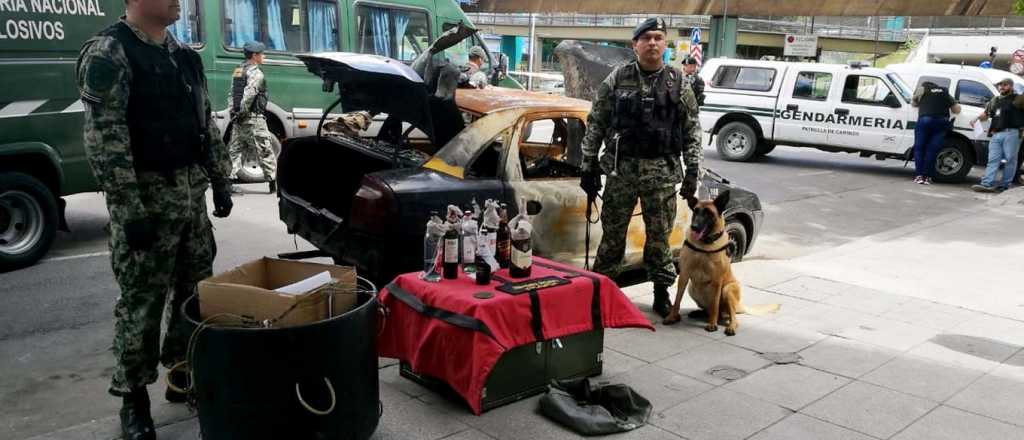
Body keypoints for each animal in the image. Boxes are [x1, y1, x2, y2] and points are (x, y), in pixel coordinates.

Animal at [659, 190, 778, 335]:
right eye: (695, 211)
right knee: (711, 311)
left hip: (728, 290)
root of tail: (739, 306)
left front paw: (712, 324)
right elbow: (677, 300)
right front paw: (672, 316)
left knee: (731, 316)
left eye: (708, 213)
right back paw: (700, 313)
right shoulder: (684, 275)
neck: (704, 245)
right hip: (692, 288)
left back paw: (729, 326)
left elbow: (715, 304)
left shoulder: (717, 280)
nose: (694, 227)